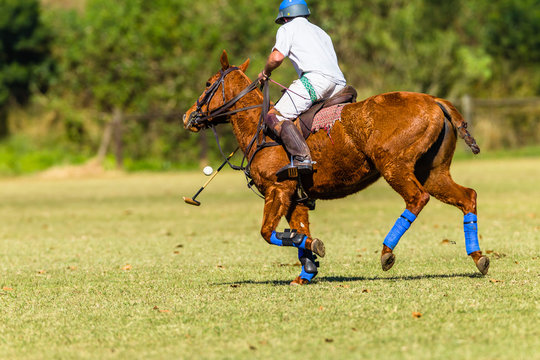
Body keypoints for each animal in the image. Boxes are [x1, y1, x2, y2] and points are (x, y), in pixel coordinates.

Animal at [182, 50, 490, 286]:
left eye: (208, 83)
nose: (187, 117)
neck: (258, 131)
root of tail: (436, 101)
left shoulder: (278, 188)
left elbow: (268, 232)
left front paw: (310, 251)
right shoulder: (296, 197)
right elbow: (301, 231)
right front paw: (306, 270)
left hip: (393, 165)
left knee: (417, 198)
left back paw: (386, 252)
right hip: (433, 172)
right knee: (467, 196)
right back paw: (479, 258)